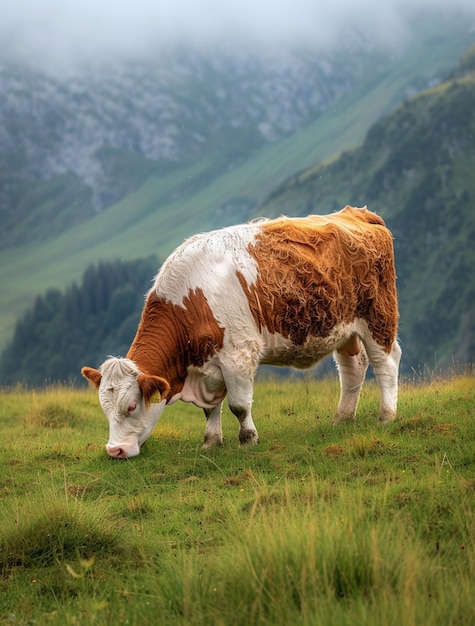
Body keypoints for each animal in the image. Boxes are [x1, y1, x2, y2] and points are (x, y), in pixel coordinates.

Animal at [82, 207, 402, 456]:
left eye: (131, 406)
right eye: (104, 408)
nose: (115, 450)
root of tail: (358, 214)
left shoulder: (239, 354)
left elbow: (238, 405)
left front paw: (248, 440)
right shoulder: (209, 366)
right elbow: (210, 410)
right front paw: (211, 441)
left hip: (377, 317)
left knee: (385, 362)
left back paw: (387, 416)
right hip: (343, 329)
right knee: (353, 367)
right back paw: (342, 419)